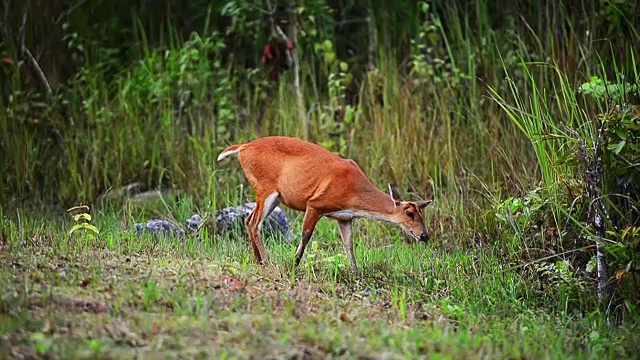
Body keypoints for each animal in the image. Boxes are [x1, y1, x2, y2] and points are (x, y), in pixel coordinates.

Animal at [218, 136, 432, 272]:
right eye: (409, 213)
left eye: (423, 214)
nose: (424, 235)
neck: (354, 193)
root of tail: (244, 147)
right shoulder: (315, 204)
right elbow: (305, 235)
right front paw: (294, 264)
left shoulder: (344, 217)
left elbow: (348, 244)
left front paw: (356, 272)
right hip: (265, 188)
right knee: (255, 223)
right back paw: (267, 261)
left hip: (270, 195)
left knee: (248, 220)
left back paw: (259, 261)